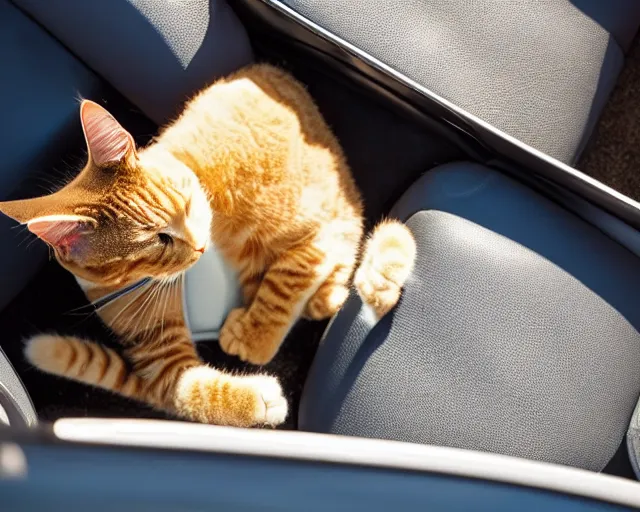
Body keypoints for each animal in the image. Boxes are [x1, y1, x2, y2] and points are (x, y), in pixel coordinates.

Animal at [0, 66, 416, 430]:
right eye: (156, 243)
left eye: (185, 204)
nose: (199, 247)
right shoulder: (161, 360)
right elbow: (192, 391)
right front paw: (255, 400)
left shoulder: (314, 231)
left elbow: (285, 282)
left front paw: (253, 338)